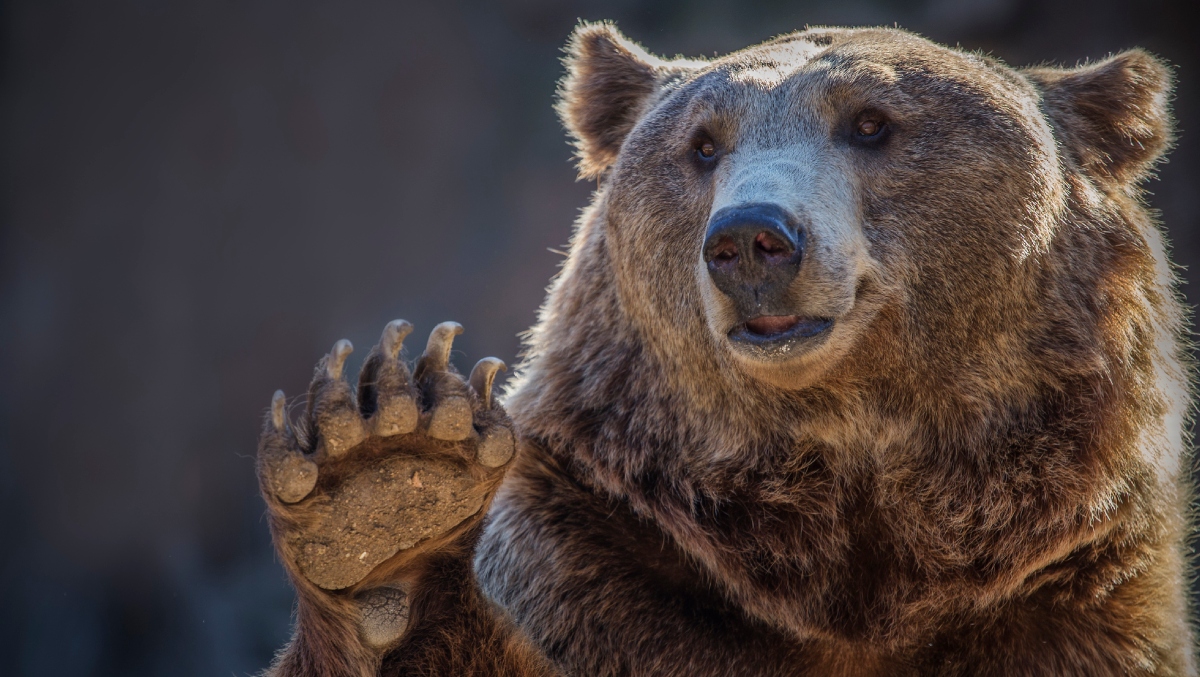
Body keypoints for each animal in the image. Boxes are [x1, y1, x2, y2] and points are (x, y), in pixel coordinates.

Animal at [253, 21, 1190, 677]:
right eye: (703, 144)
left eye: (872, 122)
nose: (750, 238)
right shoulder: (602, 565)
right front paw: (386, 488)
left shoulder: (1069, 596)